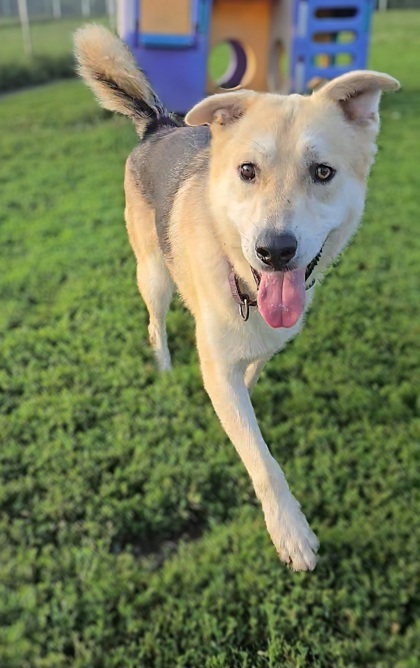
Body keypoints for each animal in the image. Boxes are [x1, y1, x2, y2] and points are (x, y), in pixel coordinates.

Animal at [74, 24, 398, 568]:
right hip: (153, 275)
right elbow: (262, 459)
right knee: (155, 324)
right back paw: (163, 367)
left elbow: (252, 370)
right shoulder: (218, 365)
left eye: (323, 172)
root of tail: (160, 125)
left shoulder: (268, 341)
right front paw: (290, 531)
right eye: (247, 171)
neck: (243, 283)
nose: (275, 250)